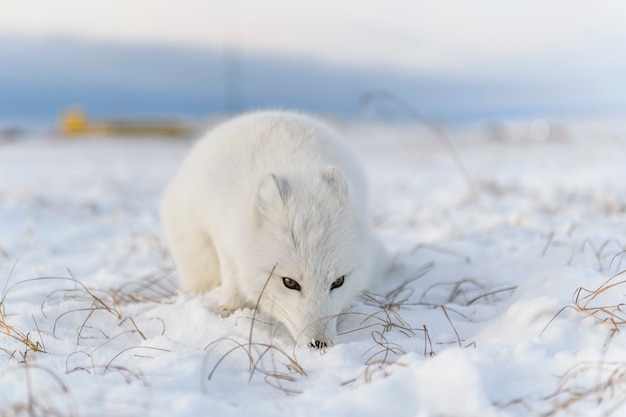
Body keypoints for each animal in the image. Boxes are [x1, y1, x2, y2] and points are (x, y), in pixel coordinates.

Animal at [161, 110, 386, 348]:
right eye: (289, 282)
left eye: (338, 281)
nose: (319, 343)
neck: (294, 165)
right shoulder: (224, 234)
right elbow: (232, 274)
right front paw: (231, 309)